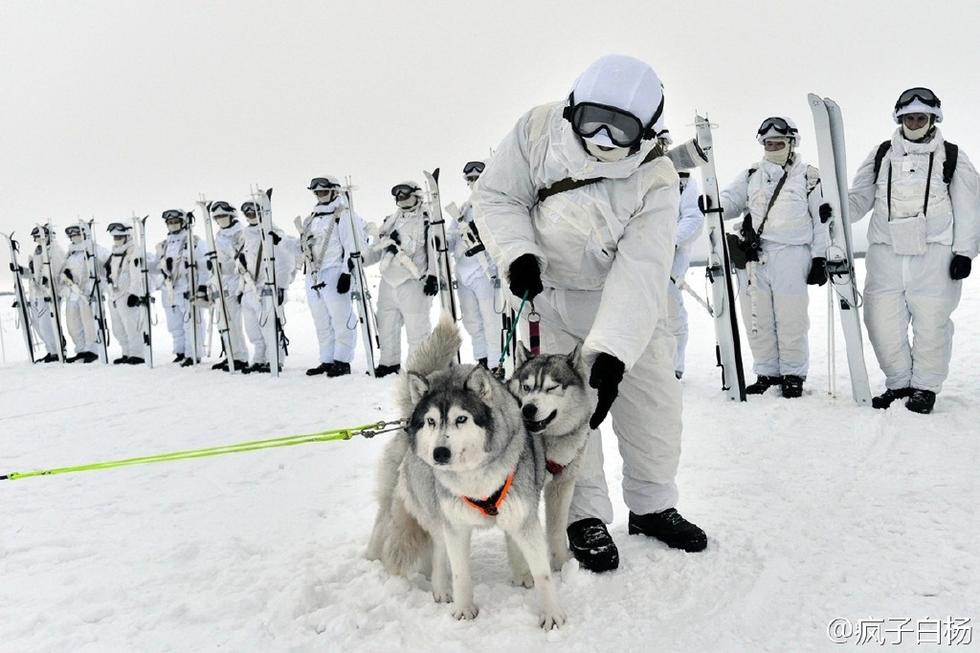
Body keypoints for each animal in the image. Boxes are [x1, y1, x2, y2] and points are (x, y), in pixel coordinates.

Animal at [368, 314, 568, 628]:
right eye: (432, 421)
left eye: (461, 419)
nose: (439, 453)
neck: (476, 478)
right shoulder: (456, 526)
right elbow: (461, 571)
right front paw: (464, 610)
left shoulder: (523, 519)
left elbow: (543, 573)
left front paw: (551, 615)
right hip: (433, 511)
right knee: (438, 549)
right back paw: (440, 587)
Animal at [510, 342, 592, 572]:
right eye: (526, 387)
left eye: (551, 388)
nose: (528, 409)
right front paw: (523, 574)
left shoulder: (561, 485)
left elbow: (556, 529)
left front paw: (561, 565)